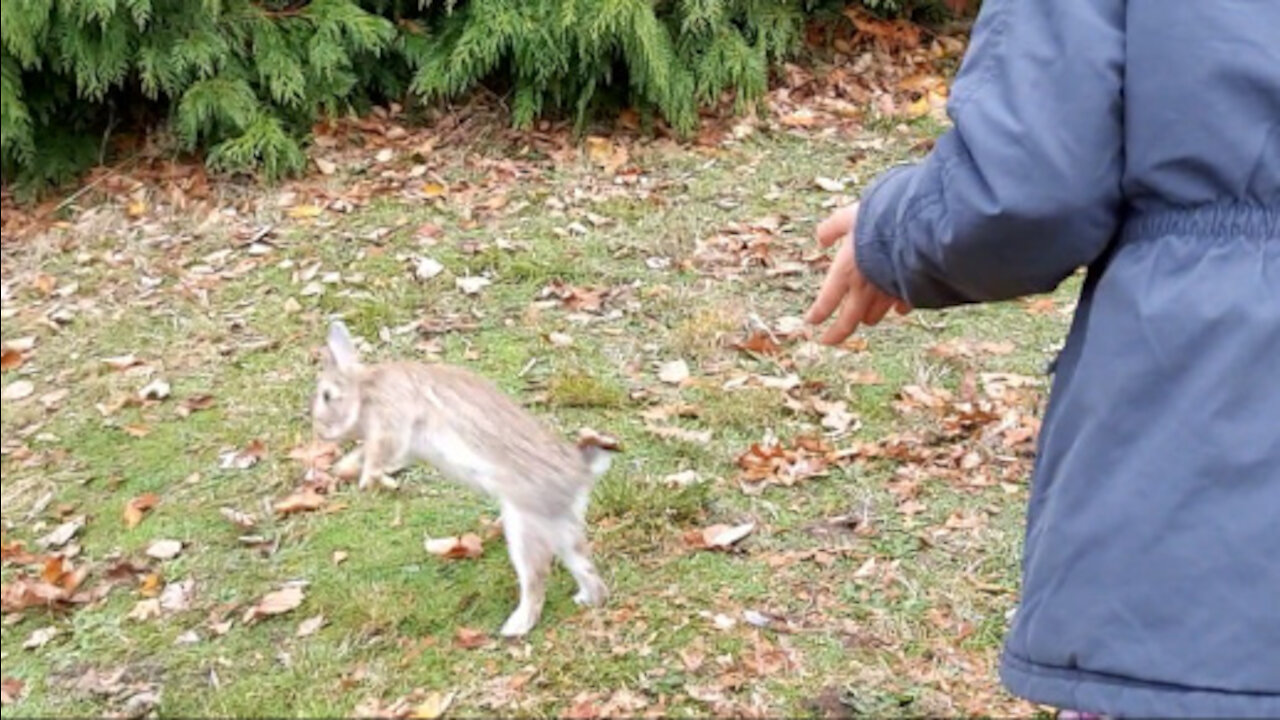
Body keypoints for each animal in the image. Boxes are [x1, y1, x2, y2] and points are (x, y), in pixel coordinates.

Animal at [307, 319, 611, 632]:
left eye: (327, 395)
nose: (320, 431)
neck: (364, 390)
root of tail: (582, 472)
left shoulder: (392, 417)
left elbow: (378, 451)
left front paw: (368, 480)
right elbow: (366, 454)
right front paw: (349, 471)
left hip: (525, 524)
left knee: (536, 578)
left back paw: (514, 627)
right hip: (560, 524)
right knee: (583, 564)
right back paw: (587, 599)